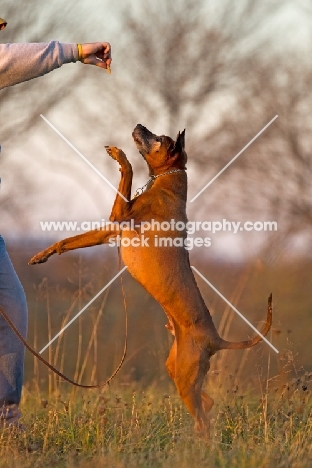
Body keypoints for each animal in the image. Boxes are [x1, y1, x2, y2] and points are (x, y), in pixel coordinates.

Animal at [30, 123, 272, 436]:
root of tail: (216, 339)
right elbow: (67, 241)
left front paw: (120, 155)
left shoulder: (120, 215)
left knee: (204, 422)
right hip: (177, 369)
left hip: (185, 376)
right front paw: (42, 255)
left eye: (158, 138)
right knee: (206, 402)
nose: (139, 126)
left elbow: (129, 171)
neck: (167, 182)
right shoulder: (110, 229)